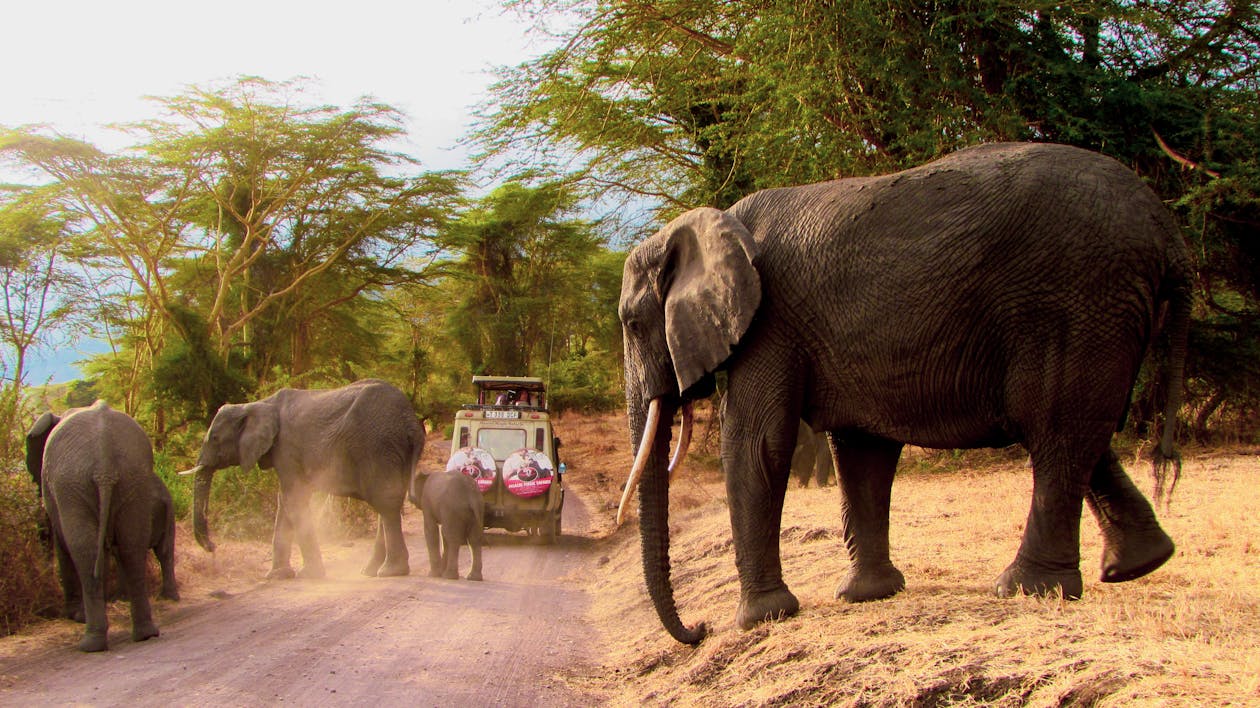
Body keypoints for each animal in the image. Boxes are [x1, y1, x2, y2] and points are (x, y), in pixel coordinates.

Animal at [26, 400, 180, 650]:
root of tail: (103, 457)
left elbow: (64, 545)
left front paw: (75, 615)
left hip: (73, 485)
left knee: (85, 551)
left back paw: (90, 643)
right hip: (134, 478)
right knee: (132, 546)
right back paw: (146, 632)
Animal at [619, 143, 1189, 645]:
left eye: (630, 323)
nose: (699, 630)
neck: (706, 224)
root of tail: (1168, 231)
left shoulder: (769, 321)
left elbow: (757, 443)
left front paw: (762, 619)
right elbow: (860, 449)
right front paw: (868, 596)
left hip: (1074, 299)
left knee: (1055, 430)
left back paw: (1027, 589)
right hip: (1101, 308)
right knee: (1084, 431)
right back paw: (1137, 564)